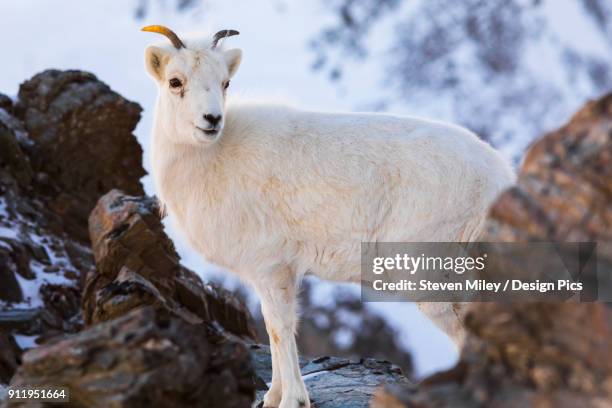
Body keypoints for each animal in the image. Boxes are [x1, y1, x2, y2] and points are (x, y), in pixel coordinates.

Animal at [142, 25, 512, 408]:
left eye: (225, 82)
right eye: (175, 81)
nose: (212, 120)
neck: (213, 160)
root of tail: (499, 178)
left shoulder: (273, 268)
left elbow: (280, 328)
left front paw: (292, 400)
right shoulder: (269, 274)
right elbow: (275, 330)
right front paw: (273, 397)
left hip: (433, 278)